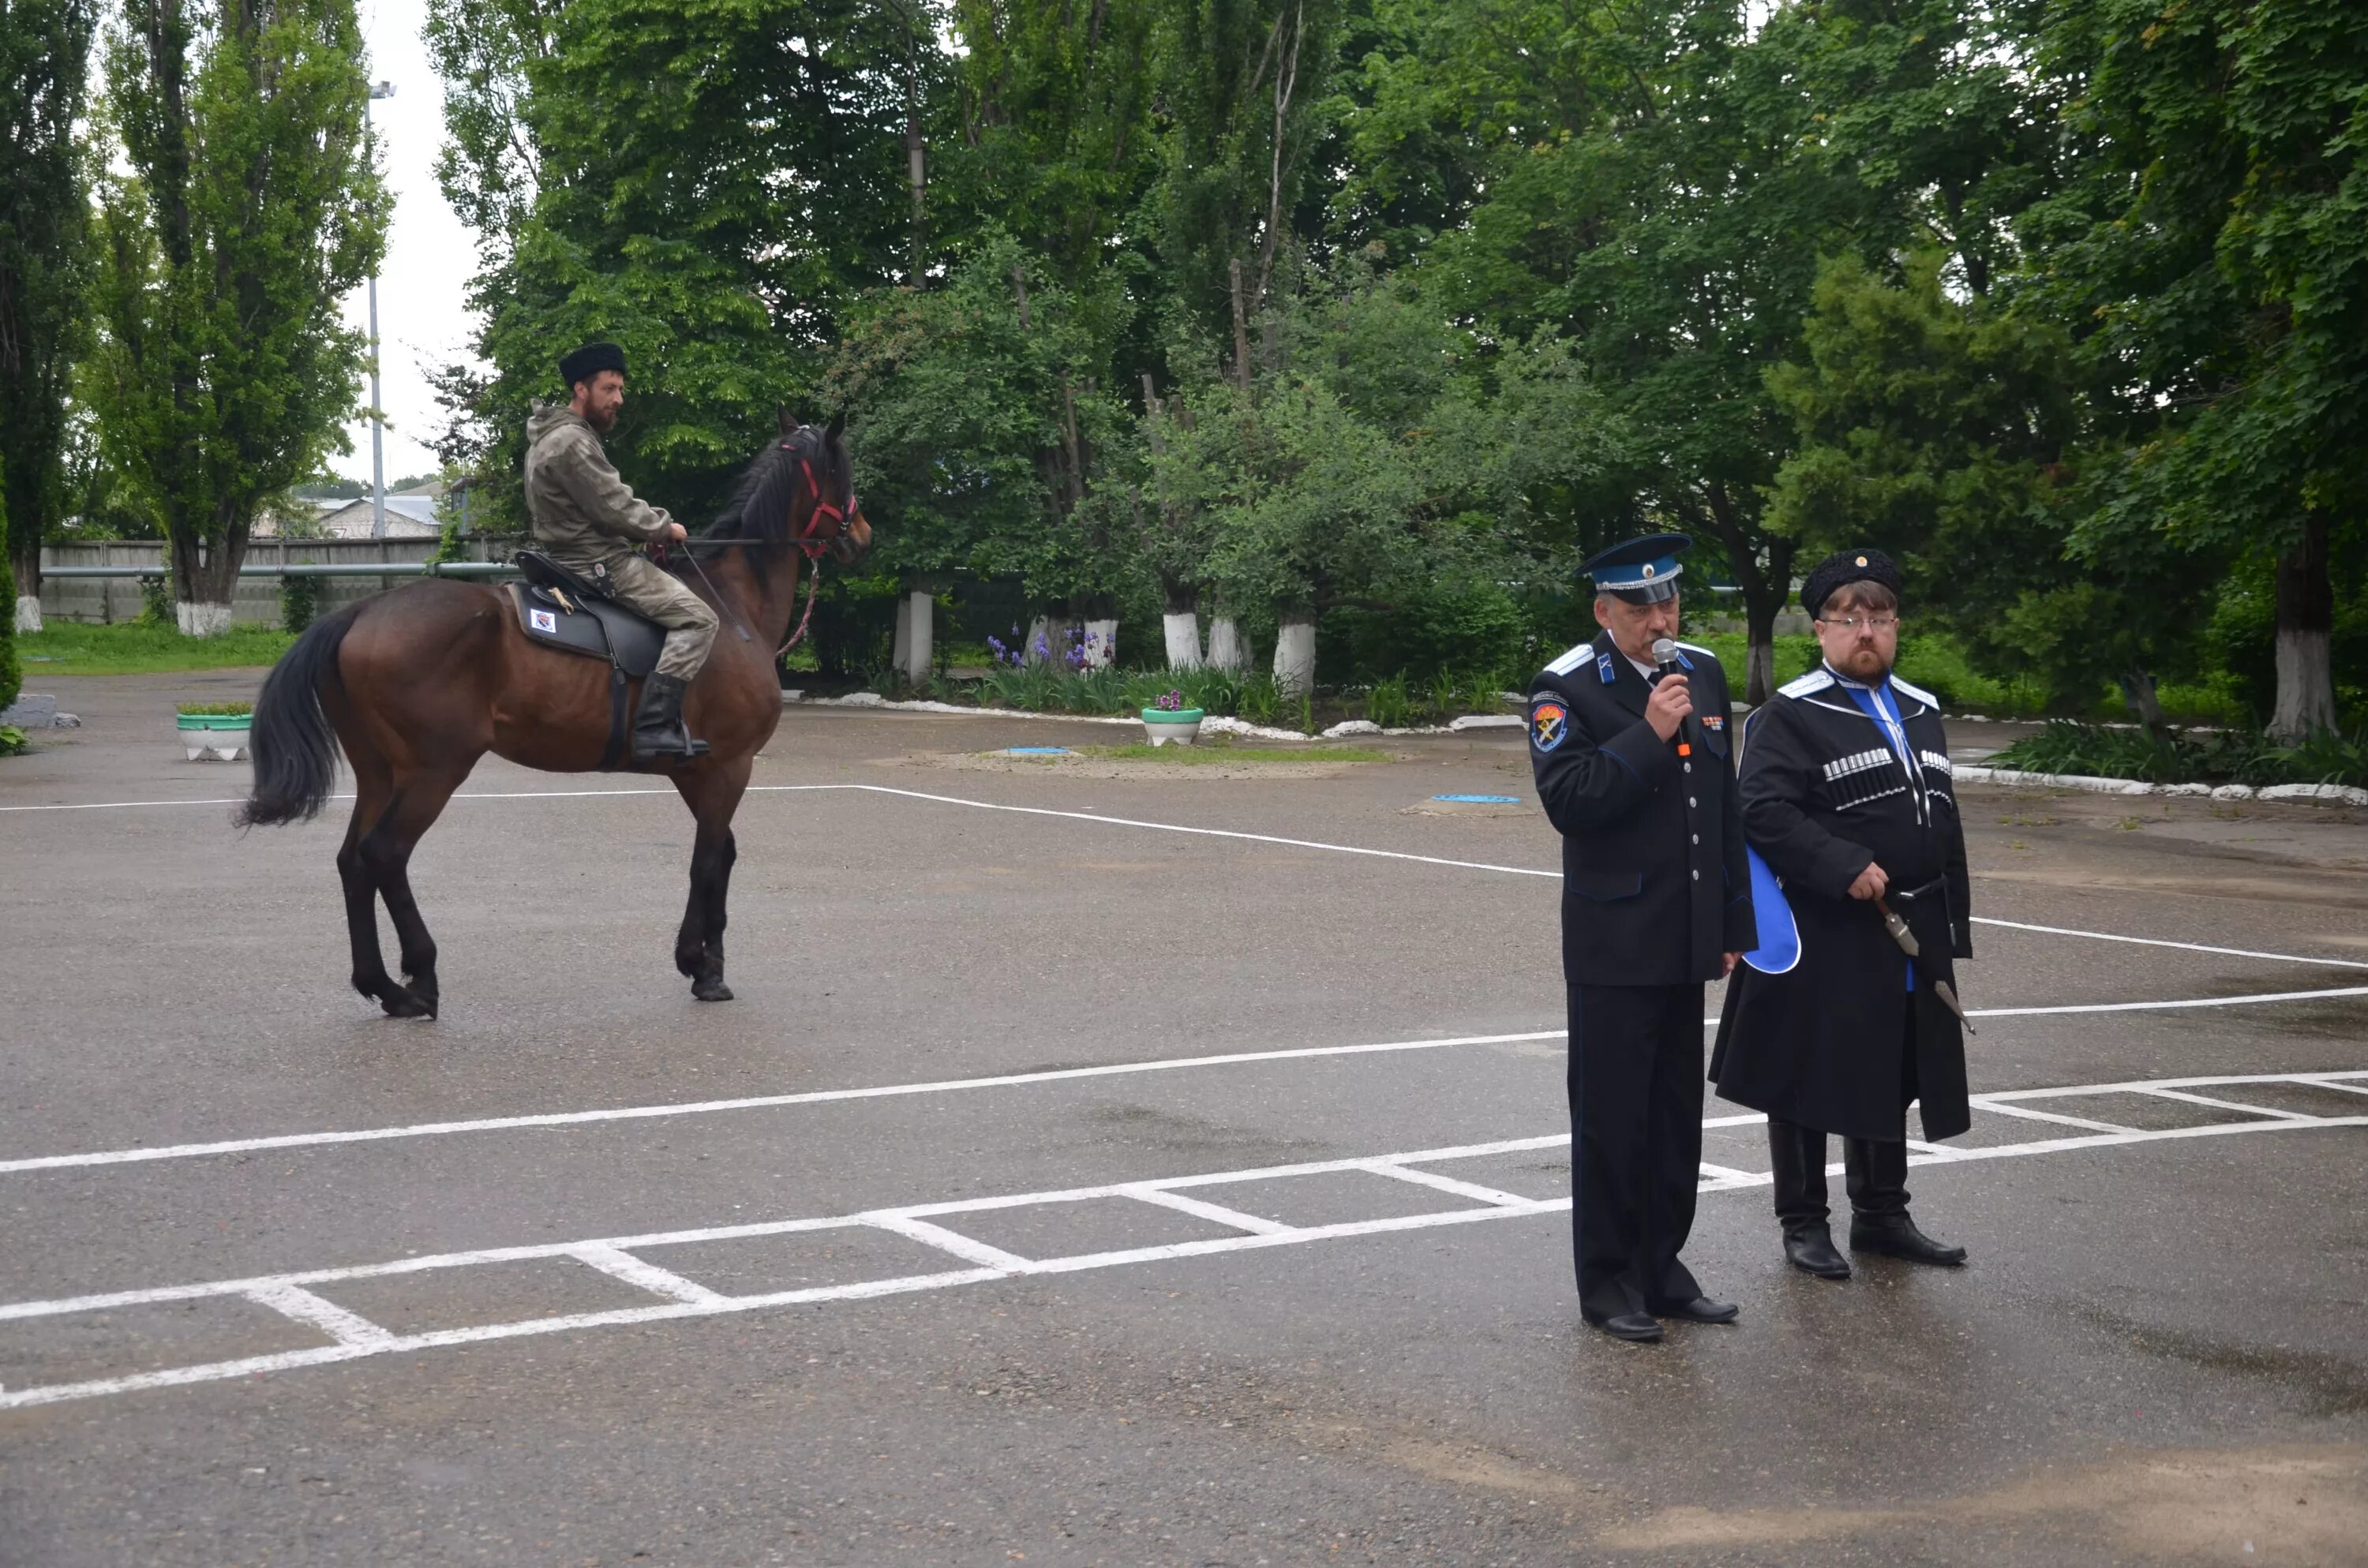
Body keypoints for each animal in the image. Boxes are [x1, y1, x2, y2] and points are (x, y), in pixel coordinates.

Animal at [235, 414, 871, 1018]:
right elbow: (708, 863)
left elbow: (722, 855)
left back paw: (381, 985)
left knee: (352, 862)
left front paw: (701, 959)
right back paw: (420, 975)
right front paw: (705, 967)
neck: (731, 604)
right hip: (432, 773)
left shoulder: (698, 772)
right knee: (384, 856)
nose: (862, 533)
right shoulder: (730, 767)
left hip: (379, 774)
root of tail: (362, 611)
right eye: (842, 470)